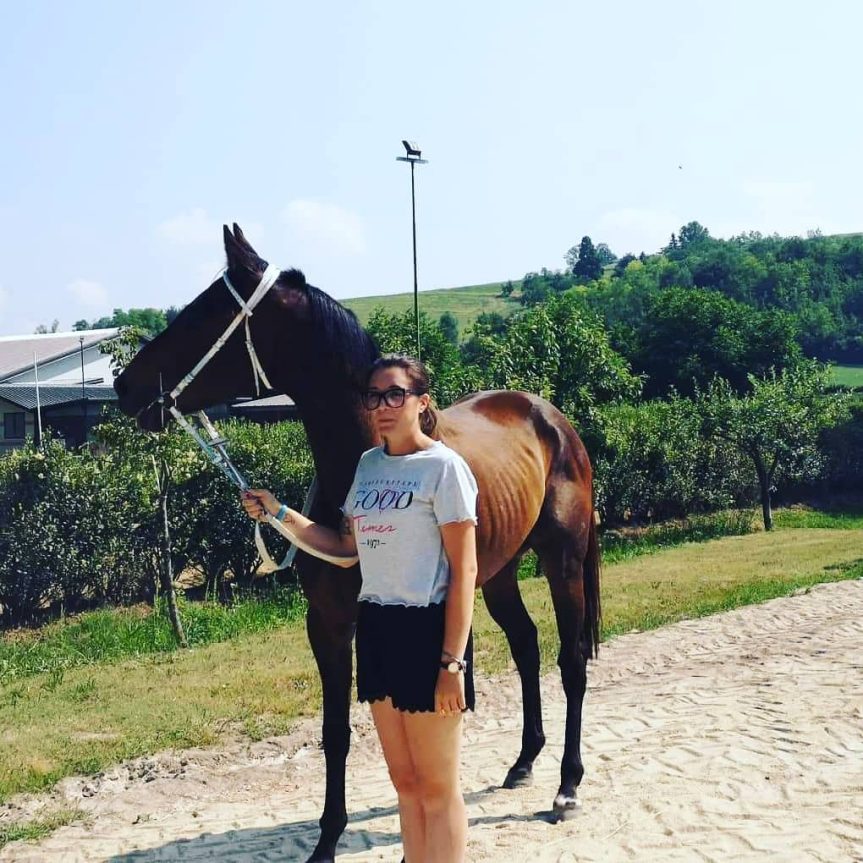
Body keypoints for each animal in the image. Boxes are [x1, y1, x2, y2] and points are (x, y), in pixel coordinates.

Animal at [113, 225, 601, 863]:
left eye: (203, 312)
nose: (123, 386)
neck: (362, 460)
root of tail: (550, 416)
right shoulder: (328, 621)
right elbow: (335, 731)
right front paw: (326, 838)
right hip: (496, 575)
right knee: (527, 646)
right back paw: (523, 762)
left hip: (562, 559)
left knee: (571, 661)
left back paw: (568, 784)